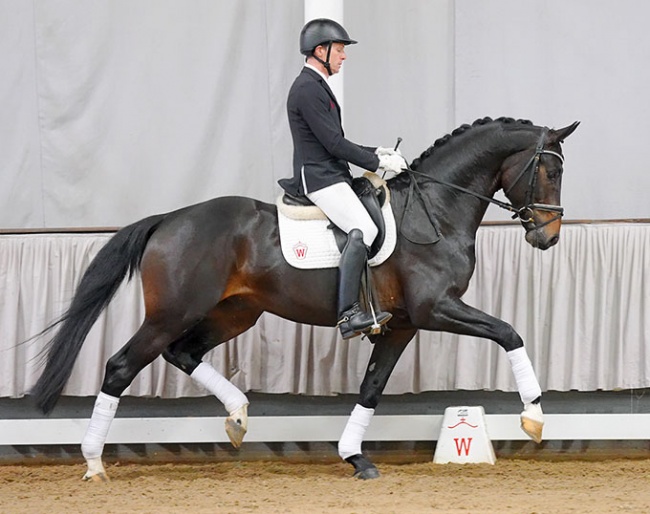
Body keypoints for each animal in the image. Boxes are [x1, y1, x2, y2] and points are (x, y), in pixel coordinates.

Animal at [31, 117, 576, 480]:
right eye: (550, 172)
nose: (548, 237)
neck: (435, 209)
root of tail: (170, 218)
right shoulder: (435, 309)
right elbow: (509, 333)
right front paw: (533, 416)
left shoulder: (402, 324)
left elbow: (372, 387)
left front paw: (355, 456)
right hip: (172, 312)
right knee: (122, 366)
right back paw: (94, 463)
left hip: (237, 312)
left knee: (183, 353)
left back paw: (237, 417)